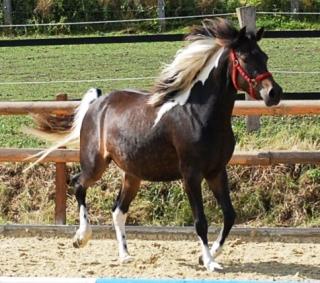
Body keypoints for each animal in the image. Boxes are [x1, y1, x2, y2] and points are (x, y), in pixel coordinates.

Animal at [31, 18, 282, 272]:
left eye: (264, 56)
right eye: (245, 58)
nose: (274, 93)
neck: (198, 115)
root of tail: (97, 103)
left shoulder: (216, 172)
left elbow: (230, 215)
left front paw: (206, 257)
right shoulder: (191, 175)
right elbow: (200, 221)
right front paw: (210, 262)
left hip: (132, 174)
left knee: (118, 210)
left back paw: (125, 255)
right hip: (95, 163)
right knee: (78, 184)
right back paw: (81, 238)